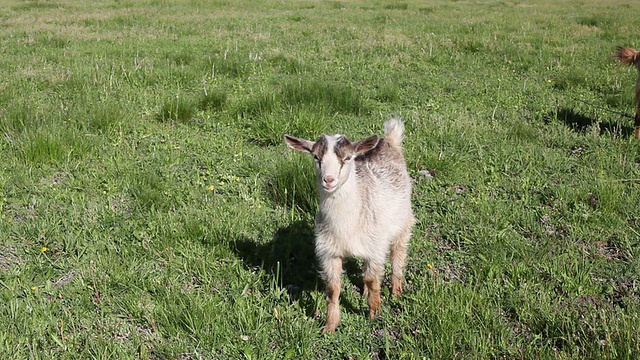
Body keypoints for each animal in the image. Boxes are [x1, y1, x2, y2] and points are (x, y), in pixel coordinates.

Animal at [284, 118, 416, 332]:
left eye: (346, 158)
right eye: (315, 156)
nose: (329, 180)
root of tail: (389, 142)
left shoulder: (376, 249)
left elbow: (373, 281)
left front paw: (374, 314)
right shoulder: (329, 252)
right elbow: (333, 288)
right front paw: (329, 326)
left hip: (403, 223)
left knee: (398, 254)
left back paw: (396, 291)